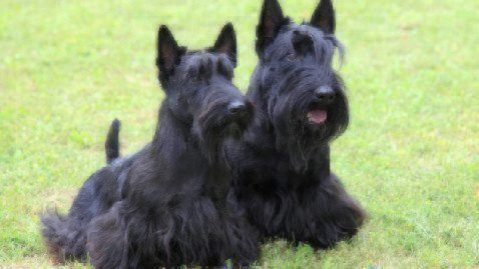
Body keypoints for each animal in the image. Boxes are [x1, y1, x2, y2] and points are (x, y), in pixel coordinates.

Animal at [41, 23, 260, 266]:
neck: (195, 153)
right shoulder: (129, 219)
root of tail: (111, 163)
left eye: (228, 74)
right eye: (194, 77)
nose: (238, 107)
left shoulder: (222, 212)